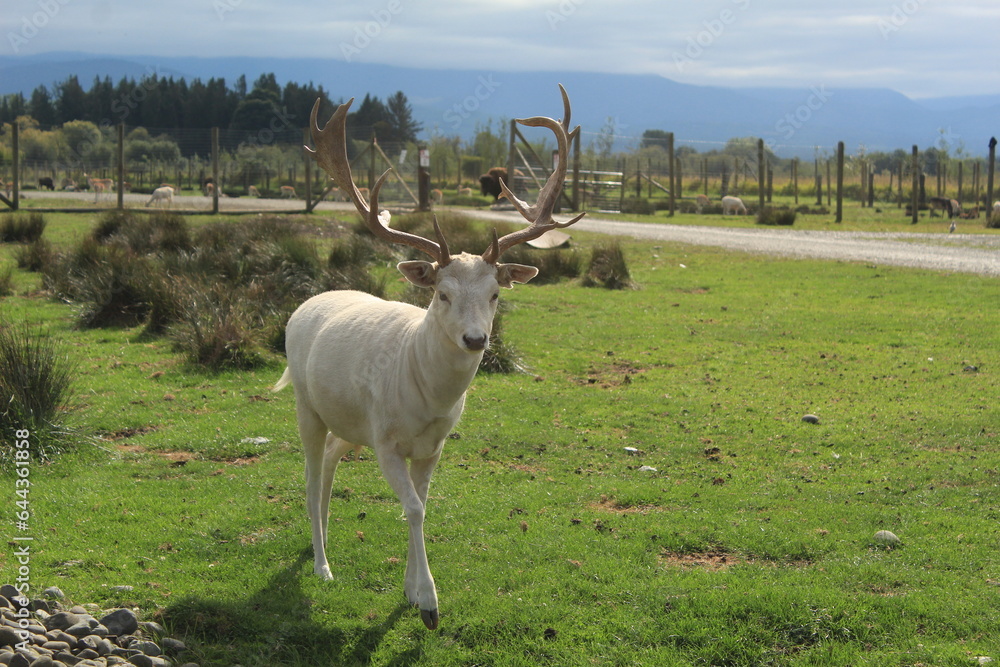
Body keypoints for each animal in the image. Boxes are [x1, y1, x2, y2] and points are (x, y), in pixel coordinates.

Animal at [274, 85, 584, 632]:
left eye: (495, 294)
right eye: (441, 293)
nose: (476, 339)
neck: (427, 399)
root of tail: (307, 304)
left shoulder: (433, 445)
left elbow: (422, 504)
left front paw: (410, 591)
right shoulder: (386, 440)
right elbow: (415, 509)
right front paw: (429, 604)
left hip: (350, 423)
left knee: (331, 458)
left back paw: (325, 542)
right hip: (307, 406)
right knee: (309, 478)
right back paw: (321, 564)